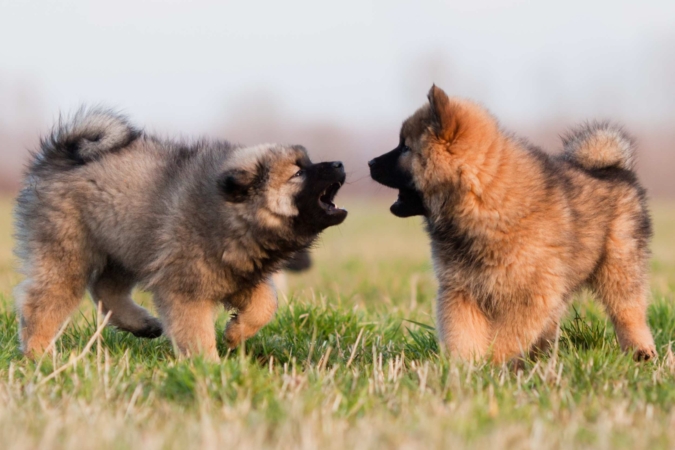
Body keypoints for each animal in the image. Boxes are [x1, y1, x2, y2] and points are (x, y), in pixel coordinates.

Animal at [15, 107, 348, 360]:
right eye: (298, 173)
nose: (340, 163)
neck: (231, 213)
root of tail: (60, 155)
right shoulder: (185, 288)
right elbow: (197, 332)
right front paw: (210, 369)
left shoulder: (235, 274)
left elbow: (266, 304)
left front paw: (235, 333)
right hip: (68, 252)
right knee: (44, 303)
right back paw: (41, 355)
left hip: (128, 244)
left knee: (105, 289)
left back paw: (142, 324)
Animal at [372, 86, 656, 364]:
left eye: (405, 147)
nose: (370, 163)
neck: (482, 198)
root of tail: (615, 168)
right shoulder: (461, 290)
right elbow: (462, 333)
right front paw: (463, 367)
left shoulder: (529, 295)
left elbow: (506, 336)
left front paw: (492, 364)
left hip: (619, 266)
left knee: (628, 312)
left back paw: (642, 352)